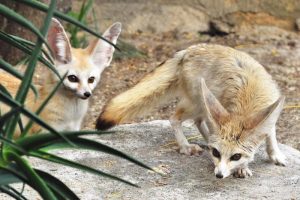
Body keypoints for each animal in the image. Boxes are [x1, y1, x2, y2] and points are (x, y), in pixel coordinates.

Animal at [97, 43, 288, 178]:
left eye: (236, 156)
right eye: (217, 153)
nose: (218, 175)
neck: (249, 98)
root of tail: (187, 50)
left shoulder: (271, 112)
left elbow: (271, 136)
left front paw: (275, 155)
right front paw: (243, 168)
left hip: (204, 104)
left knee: (199, 122)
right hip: (197, 104)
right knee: (174, 118)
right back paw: (186, 146)